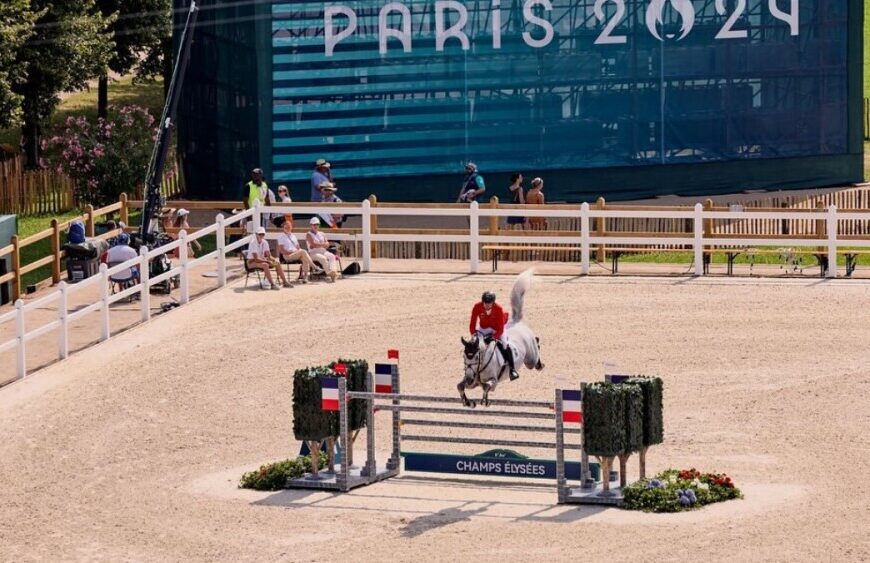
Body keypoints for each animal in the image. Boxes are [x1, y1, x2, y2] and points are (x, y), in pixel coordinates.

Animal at [456, 270, 544, 408]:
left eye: (476, 357)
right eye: (464, 357)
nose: (469, 379)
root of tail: (516, 321)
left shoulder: (494, 381)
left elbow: (486, 386)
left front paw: (485, 402)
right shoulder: (472, 382)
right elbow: (460, 386)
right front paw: (468, 402)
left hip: (530, 360)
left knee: (536, 348)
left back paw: (540, 364)